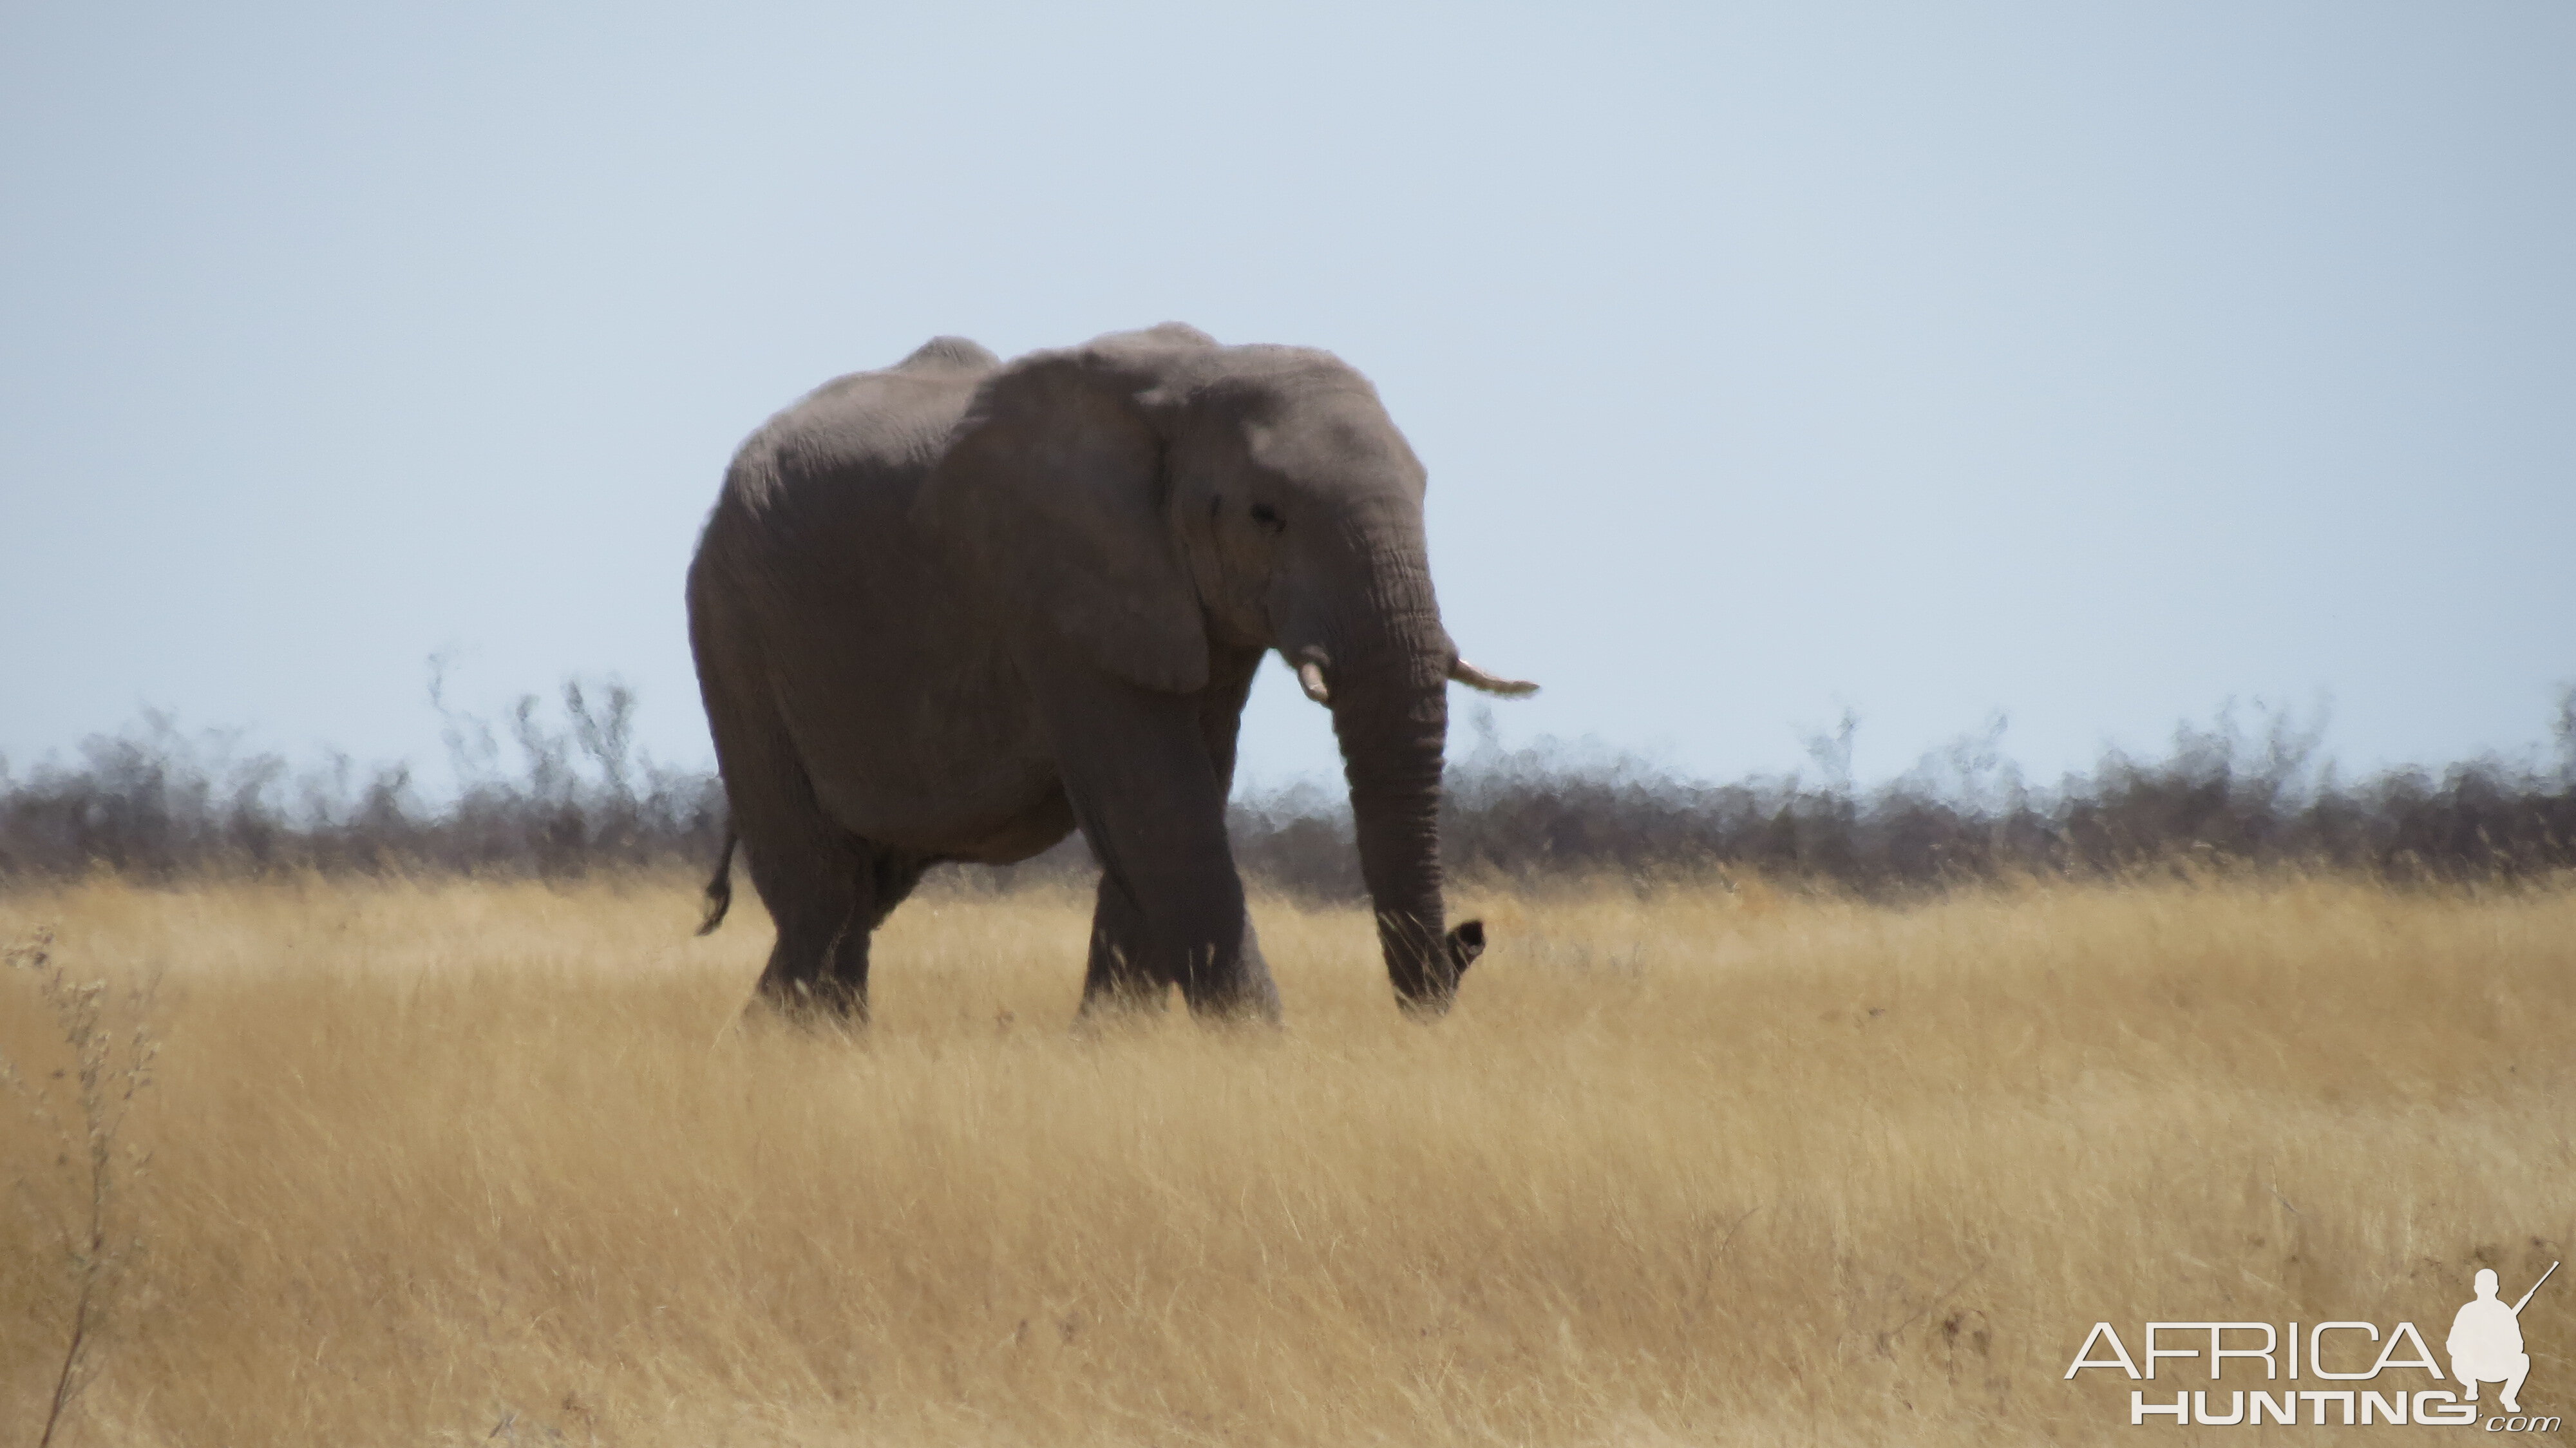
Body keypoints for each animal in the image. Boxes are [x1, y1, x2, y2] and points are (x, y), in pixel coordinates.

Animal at [685, 321, 1525, 1020]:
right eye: (1266, 516)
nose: (1468, 938)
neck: (1199, 377)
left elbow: (1173, 805)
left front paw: (1114, 1049)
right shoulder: (1056, 589)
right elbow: (1160, 808)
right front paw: (1259, 1052)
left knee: (861, 894)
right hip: (733, 628)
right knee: (825, 894)